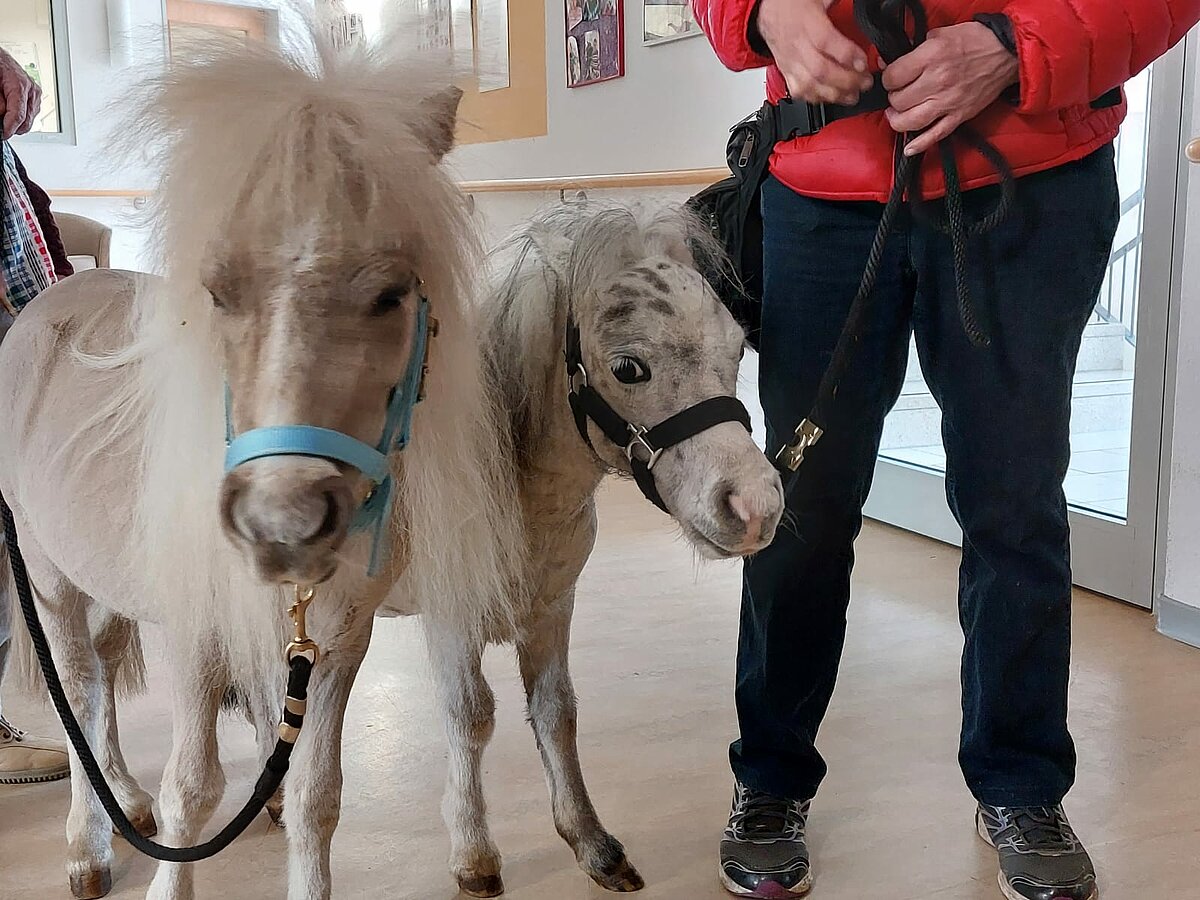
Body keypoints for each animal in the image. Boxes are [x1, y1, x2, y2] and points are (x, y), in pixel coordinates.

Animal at [2, 21, 523, 900]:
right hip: (49, 575)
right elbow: (194, 789)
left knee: (103, 678)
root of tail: (46, 305)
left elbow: (317, 794)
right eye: (216, 294)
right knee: (78, 691)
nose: (283, 523)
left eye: (391, 294)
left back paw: (124, 799)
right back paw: (87, 845)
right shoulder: (196, 631)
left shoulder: (338, 641)